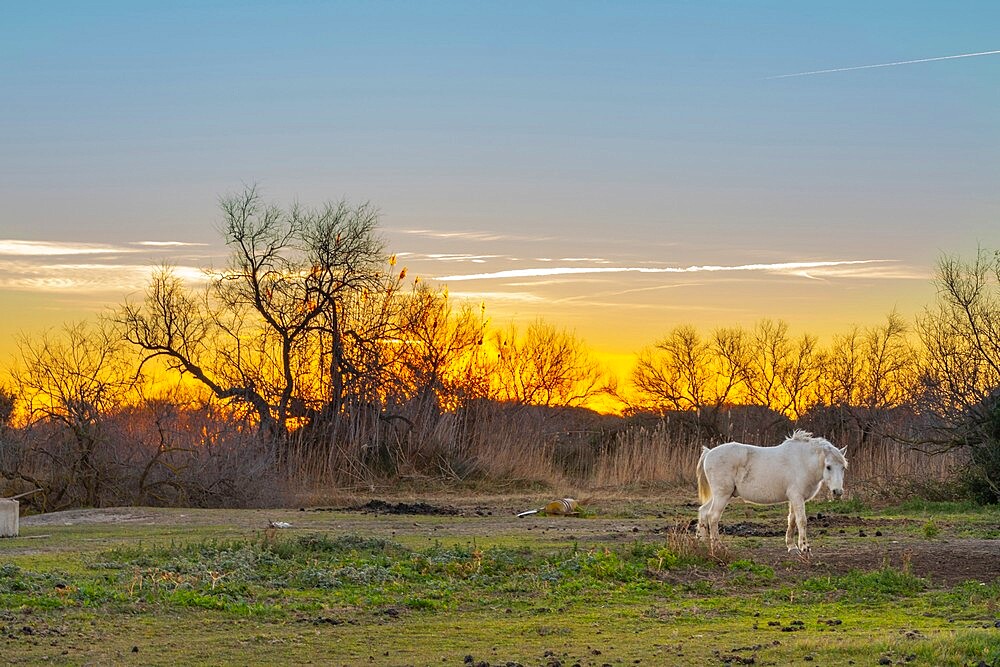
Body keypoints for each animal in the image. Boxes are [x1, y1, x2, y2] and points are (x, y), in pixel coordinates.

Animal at [700, 430, 848, 556]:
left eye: (843, 468)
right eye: (828, 467)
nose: (837, 492)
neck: (803, 462)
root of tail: (709, 452)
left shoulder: (793, 499)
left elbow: (792, 521)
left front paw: (792, 547)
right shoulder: (797, 497)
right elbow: (802, 521)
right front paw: (805, 548)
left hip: (718, 496)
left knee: (703, 512)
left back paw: (701, 542)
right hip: (722, 495)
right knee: (713, 516)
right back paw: (717, 547)